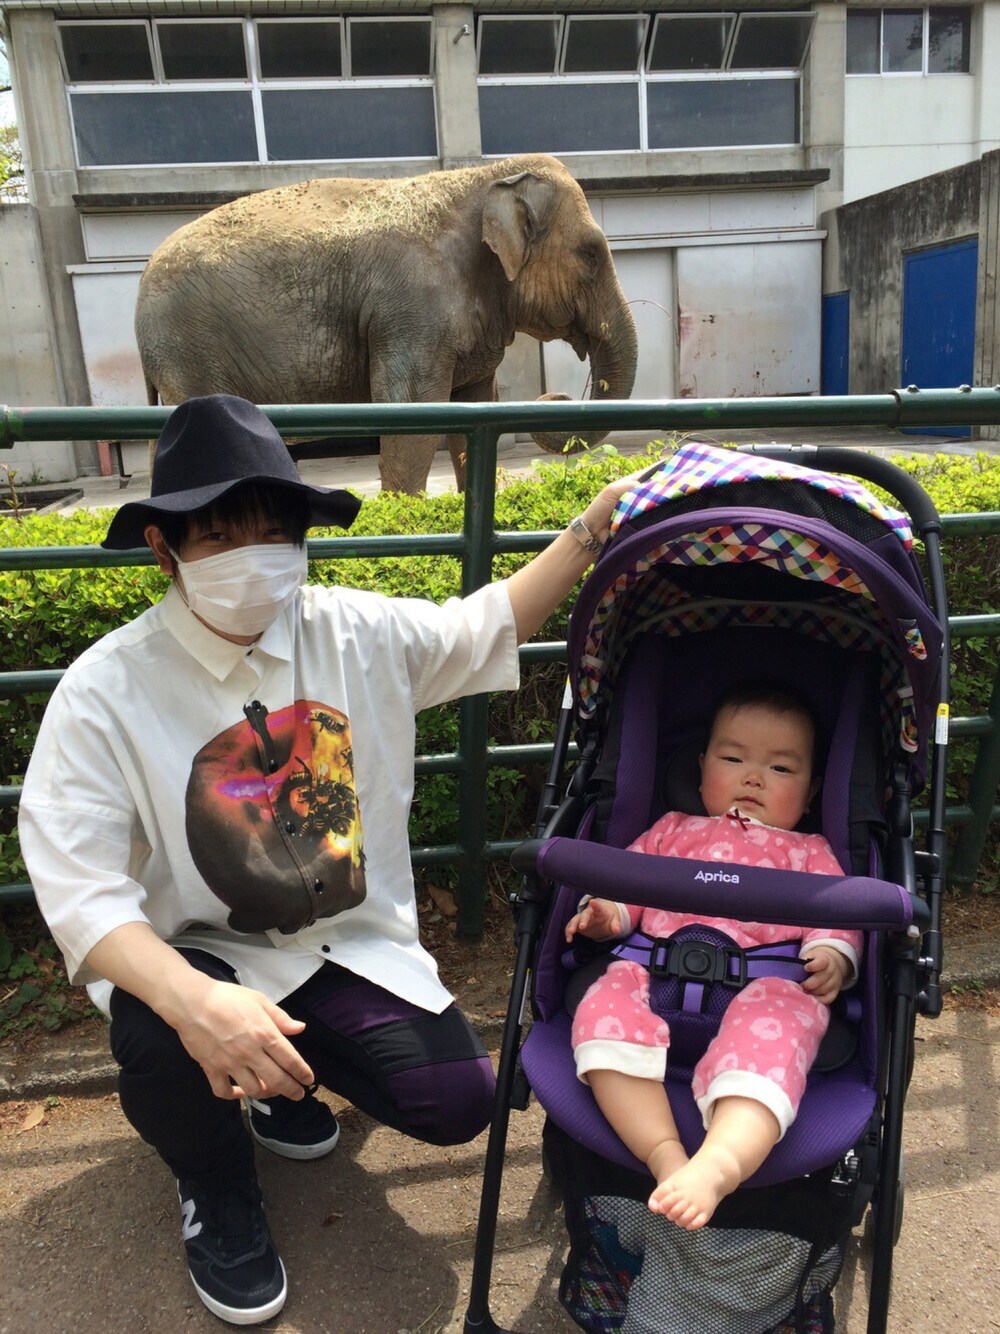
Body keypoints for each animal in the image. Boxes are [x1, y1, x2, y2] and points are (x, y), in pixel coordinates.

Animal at [134, 153, 637, 494]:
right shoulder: (413, 311)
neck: (485, 174)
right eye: (591, 255)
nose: (557, 395)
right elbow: (412, 420)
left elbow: (472, 416)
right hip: (188, 350)